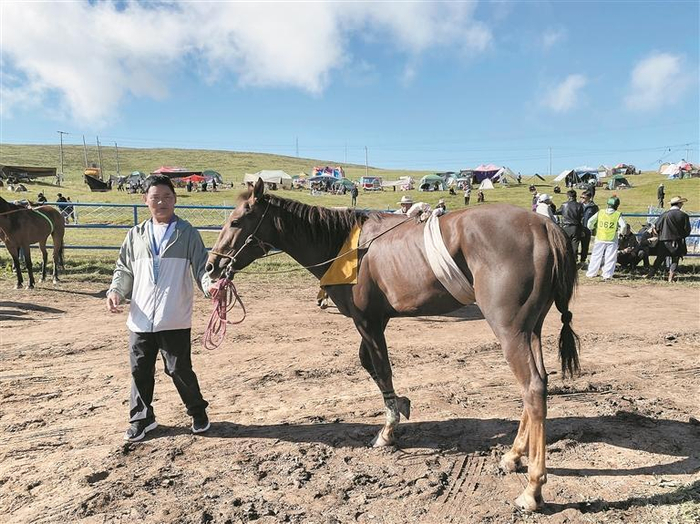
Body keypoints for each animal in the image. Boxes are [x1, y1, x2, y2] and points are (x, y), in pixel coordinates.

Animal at [207, 179, 580, 511]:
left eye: (236, 221)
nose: (212, 266)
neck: (346, 248)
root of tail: (543, 226)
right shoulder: (378, 320)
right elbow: (369, 364)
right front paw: (401, 404)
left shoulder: (368, 322)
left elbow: (382, 369)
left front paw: (388, 429)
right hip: (530, 328)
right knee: (538, 384)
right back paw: (514, 455)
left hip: (509, 330)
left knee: (532, 388)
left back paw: (533, 489)